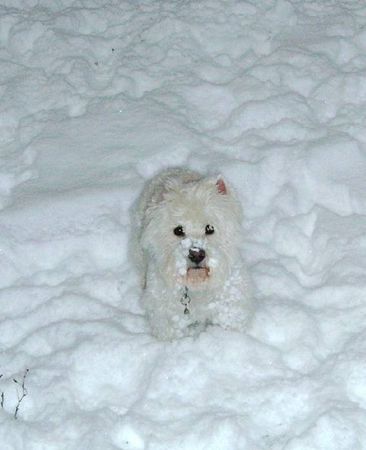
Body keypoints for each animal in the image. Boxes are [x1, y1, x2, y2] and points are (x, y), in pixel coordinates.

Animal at [134, 169, 252, 342]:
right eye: (178, 230)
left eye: (210, 228)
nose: (196, 254)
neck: (198, 286)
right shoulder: (168, 315)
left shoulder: (230, 306)